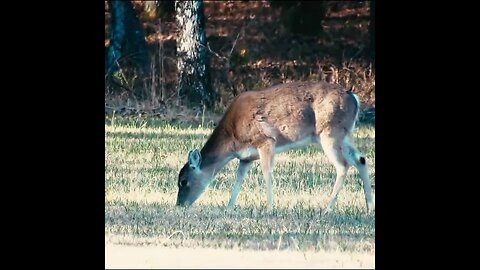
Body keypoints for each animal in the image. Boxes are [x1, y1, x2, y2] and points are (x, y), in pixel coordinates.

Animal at [176, 80, 376, 213]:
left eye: (183, 181)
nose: (179, 204)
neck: (233, 138)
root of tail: (354, 98)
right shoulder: (246, 157)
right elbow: (239, 179)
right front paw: (229, 207)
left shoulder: (266, 141)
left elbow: (267, 173)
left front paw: (270, 208)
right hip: (344, 134)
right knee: (361, 159)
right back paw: (369, 207)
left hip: (330, 132)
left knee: (343, 165)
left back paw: (327, 209)